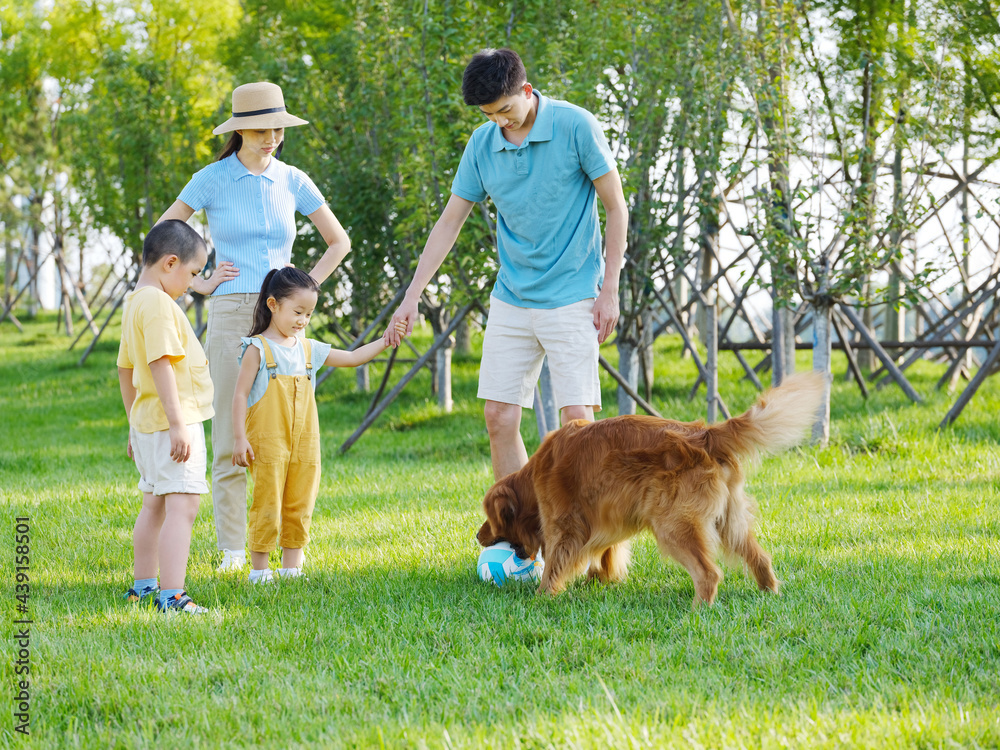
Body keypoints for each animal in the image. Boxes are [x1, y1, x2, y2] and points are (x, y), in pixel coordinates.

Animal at [480, 374, 824, 608]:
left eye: (489, 520)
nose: (478, 536)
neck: (534, 475)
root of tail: (706, 435)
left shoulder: (564, 525)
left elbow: (555, 562)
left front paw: (542, 595)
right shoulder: (605, 517)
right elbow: (606, 551)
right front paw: (600, 579)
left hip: (674, 525)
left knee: (708, 573)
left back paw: (698, 609)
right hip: (730, 520)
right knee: (760, 557)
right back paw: (769, 592)